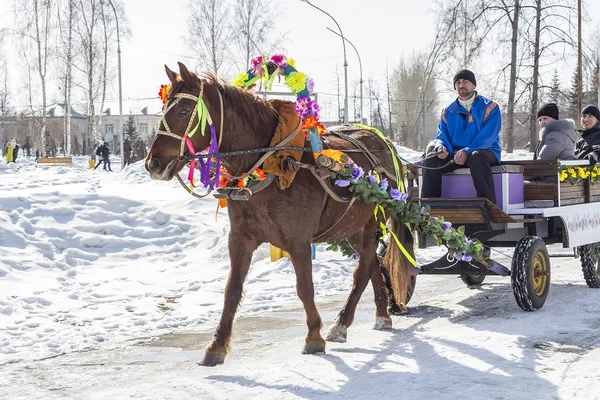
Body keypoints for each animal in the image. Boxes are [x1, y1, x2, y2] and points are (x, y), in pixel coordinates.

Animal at [146, 62, 418, 366]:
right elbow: (232, 290)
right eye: (163, 108)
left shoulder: (298, 241)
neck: (271, 165)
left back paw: (342, 323)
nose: (153, 163)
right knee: (371, 266)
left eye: (183, 111)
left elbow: (304, 287)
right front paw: (216, 346)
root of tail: (384, 142)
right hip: (352, 229)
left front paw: (314, 336)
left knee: (362, 272)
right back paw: (380, 315)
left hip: (372, 224)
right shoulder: (240, 239)